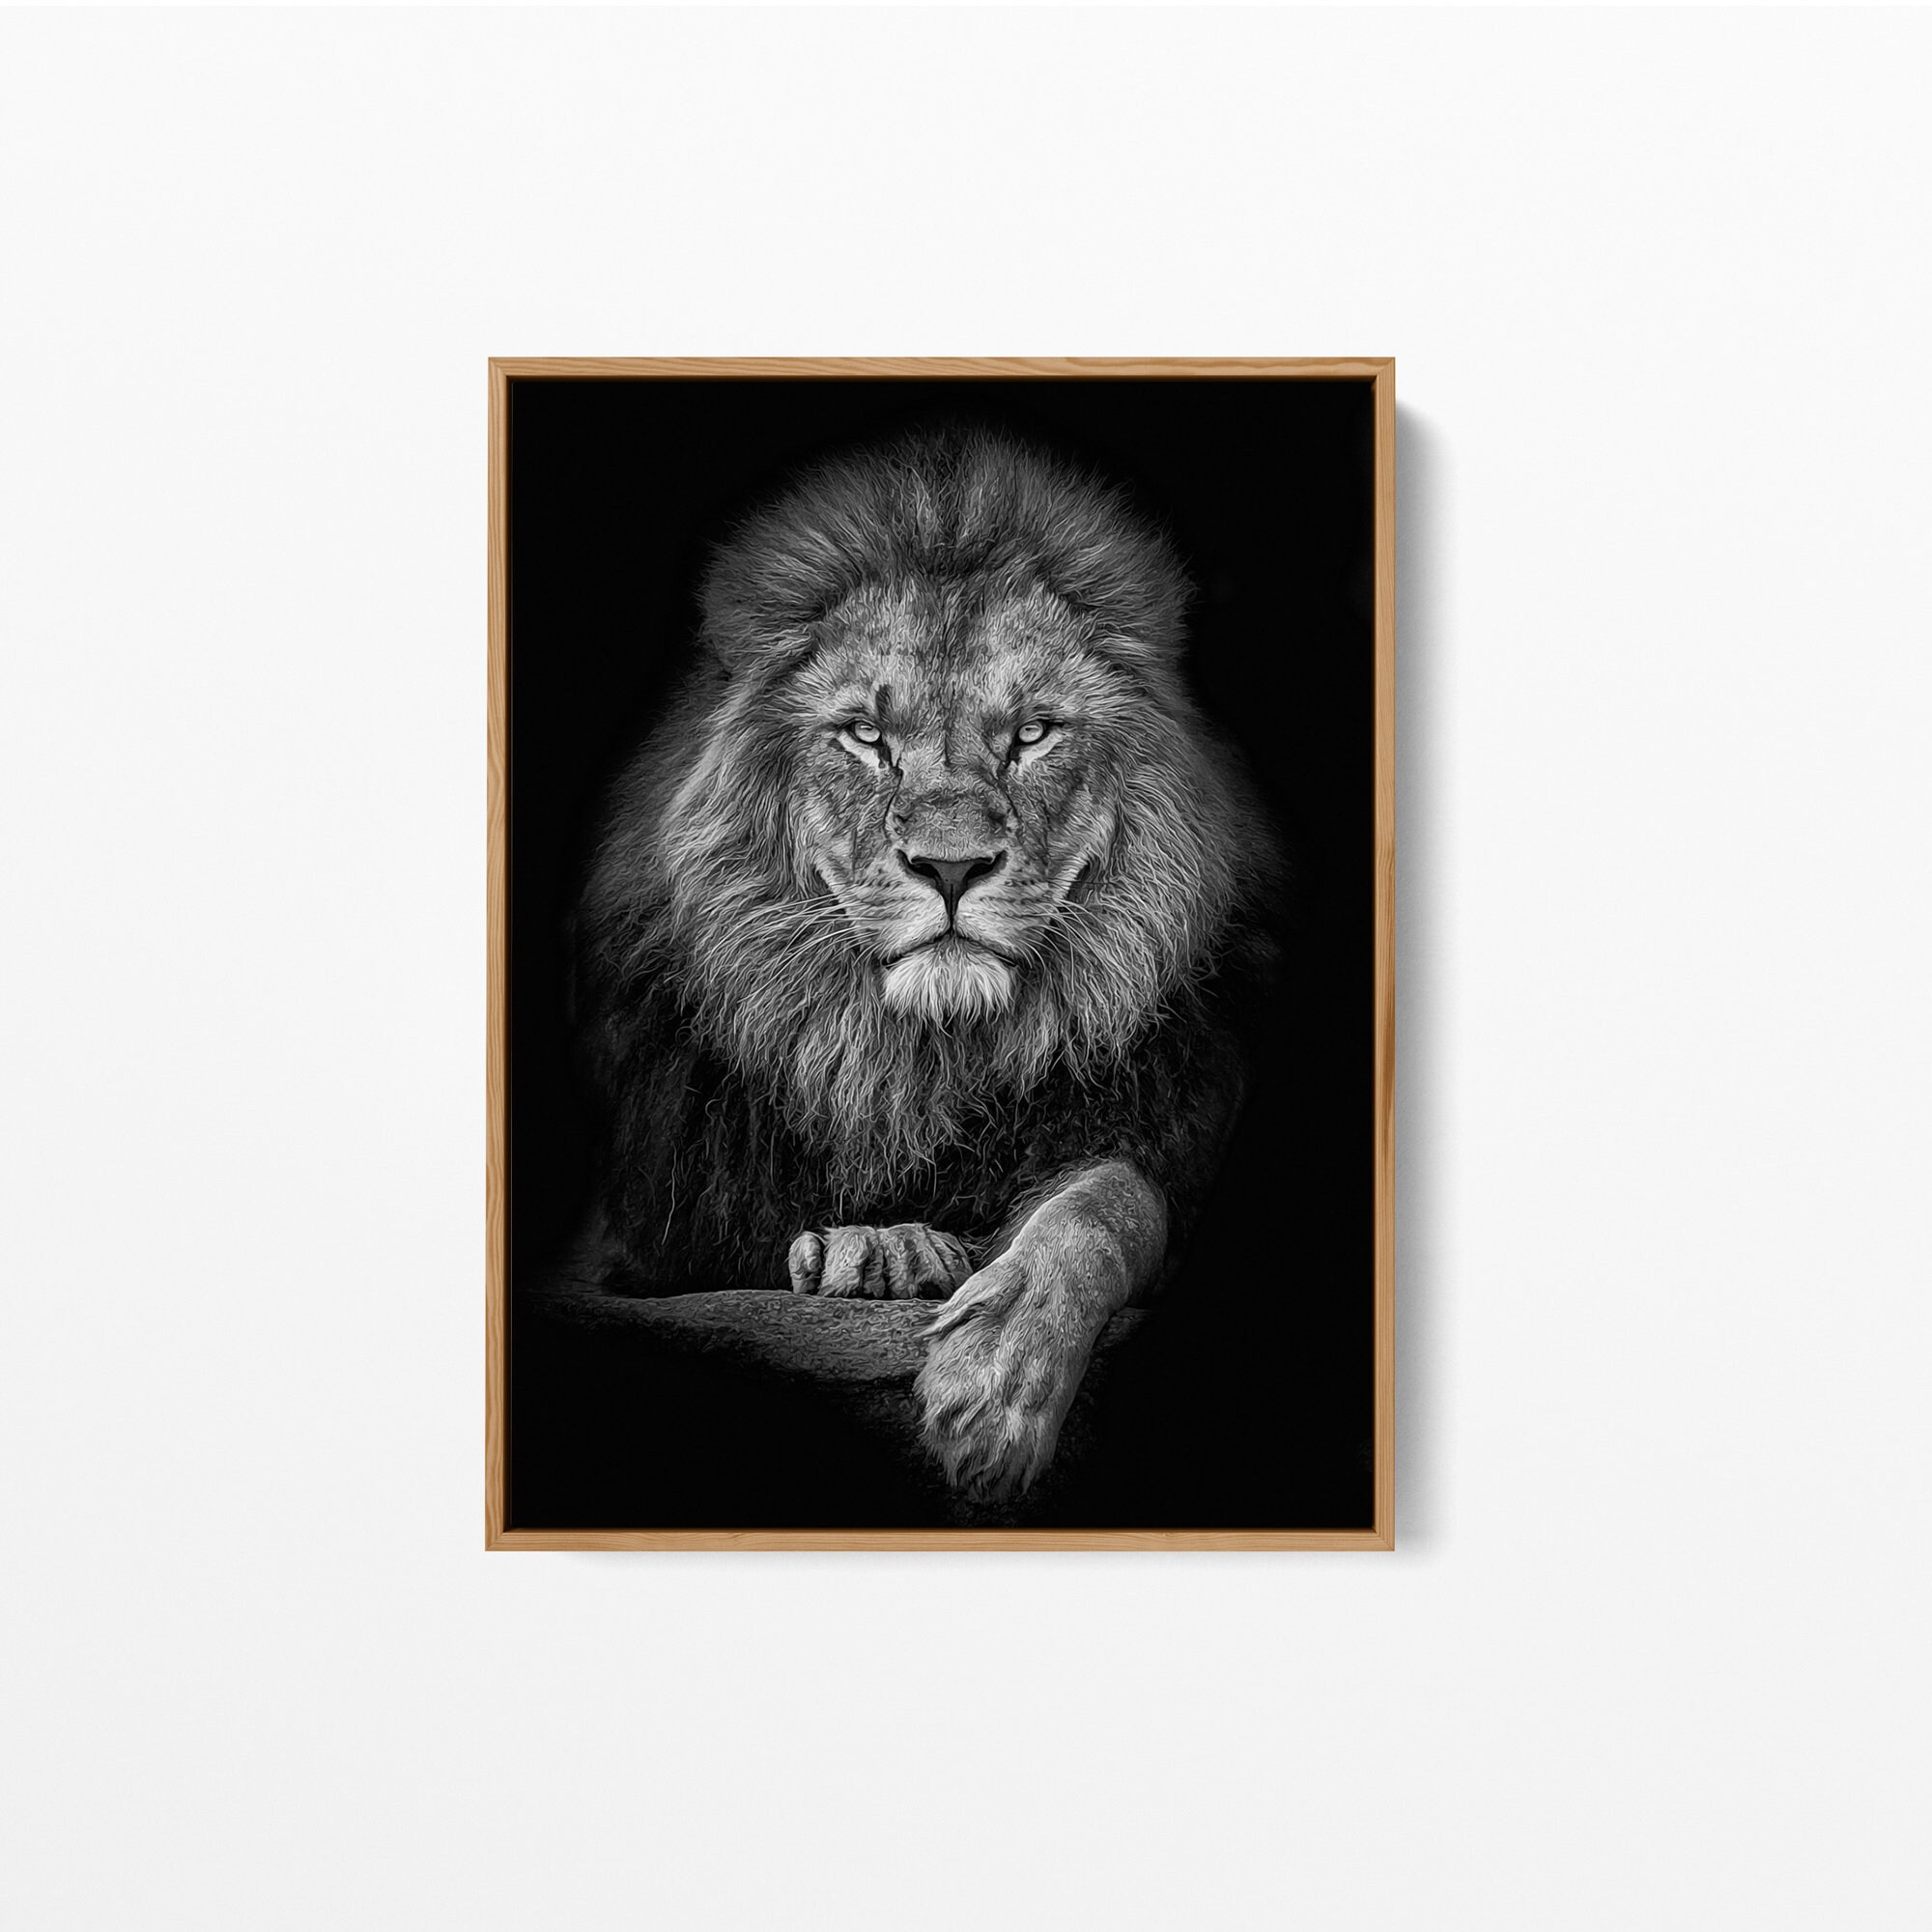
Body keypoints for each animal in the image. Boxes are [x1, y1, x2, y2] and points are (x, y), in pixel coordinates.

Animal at [570, 427, 1280, 1499]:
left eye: (1031, 733)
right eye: (867, 736)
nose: (950, 865)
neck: (916, 1059)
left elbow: (1108, 1203)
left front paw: (995, 1382)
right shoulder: (644, 1229)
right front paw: (881, 1249)